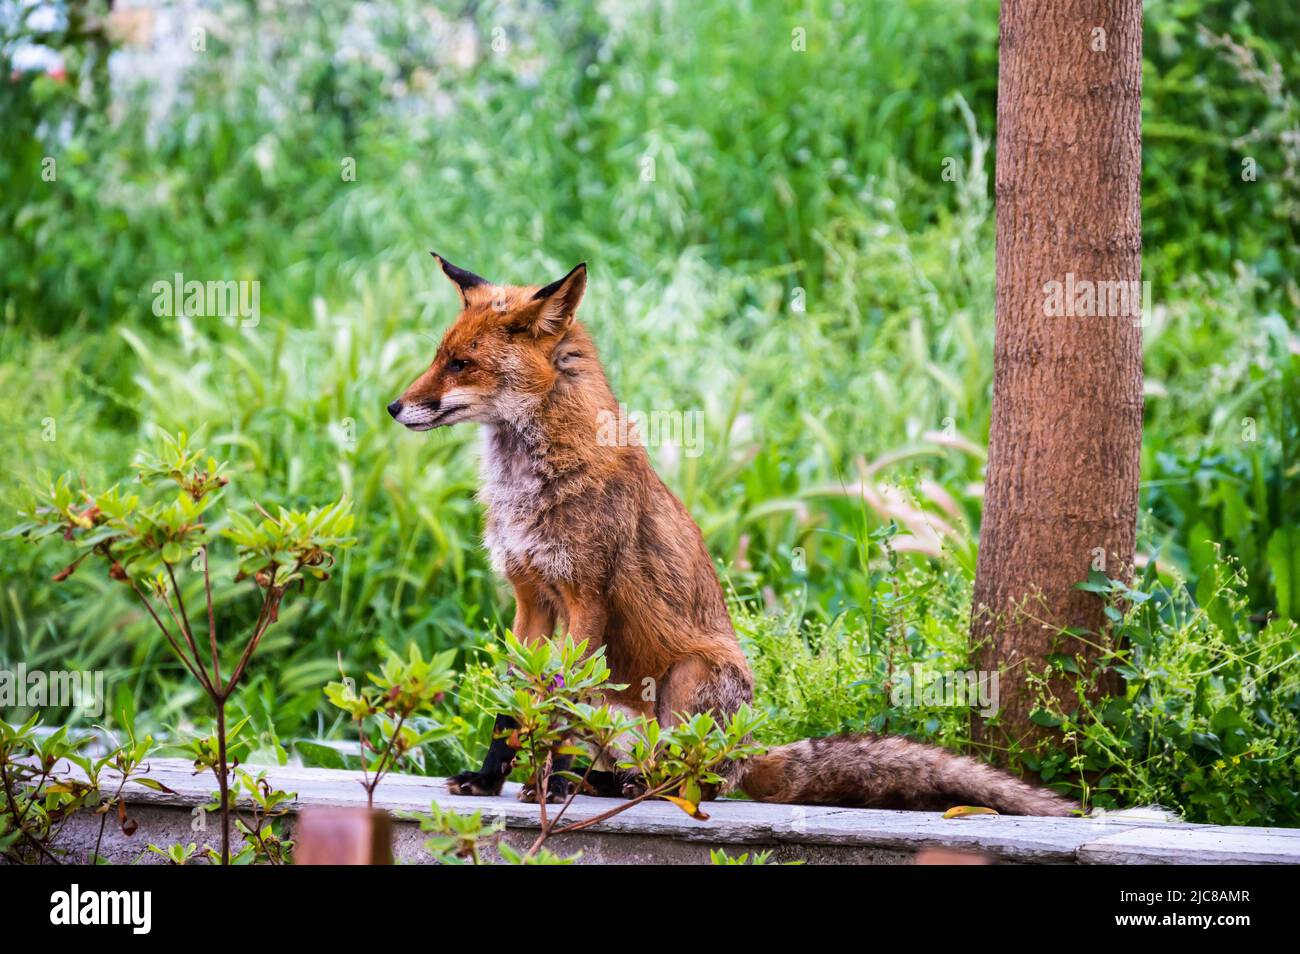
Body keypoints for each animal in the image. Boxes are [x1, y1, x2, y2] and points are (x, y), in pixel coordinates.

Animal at [387, 256, 1076, 821]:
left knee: (689, 783)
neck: (529, 483)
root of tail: (744, 745)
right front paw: (488, 778)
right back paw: (596, 780)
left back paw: (600, 783)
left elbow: (558, 705)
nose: (393, 408)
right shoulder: (530, 598)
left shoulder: (585, 598)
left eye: (460, 364)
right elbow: (516, 705)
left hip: (690, 679)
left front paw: (545, 783)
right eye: (437, 356)